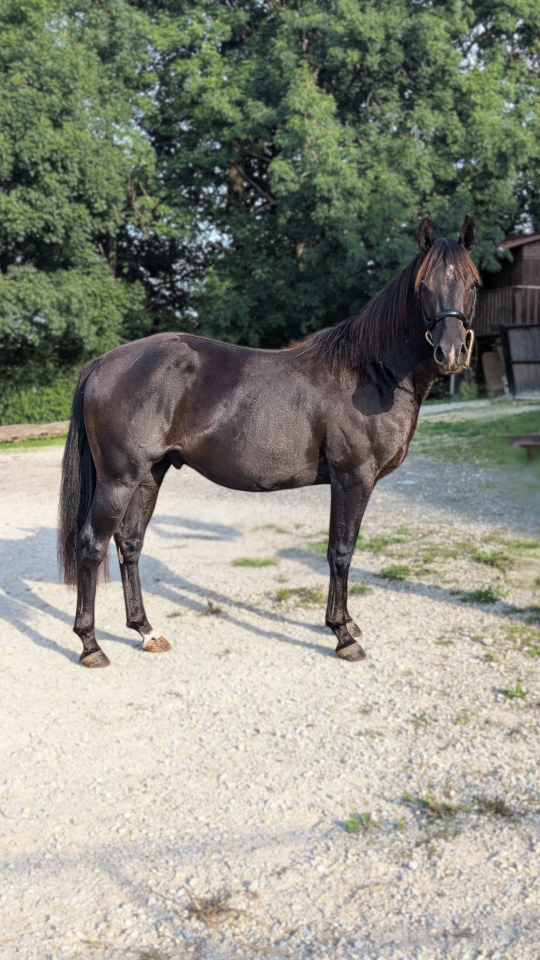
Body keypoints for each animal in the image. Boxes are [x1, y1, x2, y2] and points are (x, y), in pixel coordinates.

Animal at [58, 215, 479, 667]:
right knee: (92, 545)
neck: (370, 375)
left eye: (473, 283)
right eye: (423, 287)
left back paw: (145, 630)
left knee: (130, 544)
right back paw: (90, 645)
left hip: (149, 475)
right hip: (118, 479)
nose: (451, 353)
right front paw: (342, 634)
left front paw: (347, 623)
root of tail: (104, 362)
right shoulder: (352, 479)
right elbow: (341, 551)